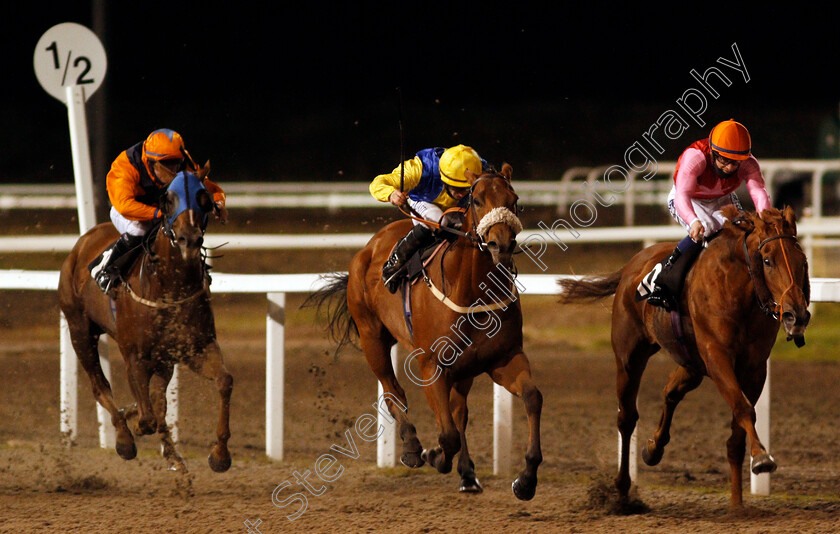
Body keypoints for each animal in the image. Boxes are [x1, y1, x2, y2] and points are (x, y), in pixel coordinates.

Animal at [57, 166, 231, 474]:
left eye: (204, 197)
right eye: (169, 199)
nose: (189, 239)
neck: (169, 287)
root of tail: (83, 241)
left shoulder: (196, 347)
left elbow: (223, 382)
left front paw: (220, 455)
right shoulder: (134, 357)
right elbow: (148, 417)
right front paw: (133, 428)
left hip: (163, 358)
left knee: (157, 397)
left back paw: (171, 454)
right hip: (79, 329)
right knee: (100, 387)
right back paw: (125, 439)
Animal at [312, 164, 540, 502]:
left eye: (515, 201)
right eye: (477, 201)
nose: (501, 245)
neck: (471, 291)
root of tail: (369, 248)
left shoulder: (503, 359)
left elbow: (531, 398)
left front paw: (525, 480)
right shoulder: (432, 365)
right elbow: (446, 435)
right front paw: (432, 455)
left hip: (464, 369)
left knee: (459, 411)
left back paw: (467, 474)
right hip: (372, 337)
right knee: (394, 392)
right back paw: (411, 447)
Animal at [560, 206, 812, 510]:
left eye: (802, 261)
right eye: (767, 260)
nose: (796, 315)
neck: (739, 290)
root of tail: (632, 265)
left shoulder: (754, 367)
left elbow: (736, 434)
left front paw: (737, 504)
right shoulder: (716, 356)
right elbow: (742, 409)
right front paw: (762, 458)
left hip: (691, 363)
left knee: (670, 391)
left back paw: (653, 449)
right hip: (629, 357)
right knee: (627, 417)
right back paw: (621, 490)